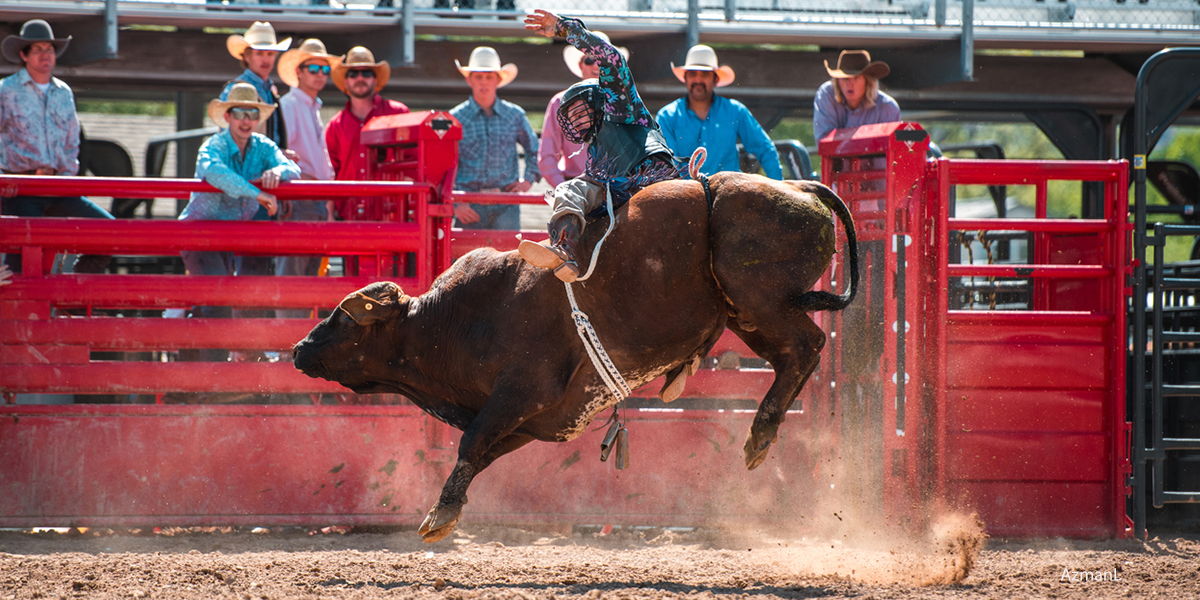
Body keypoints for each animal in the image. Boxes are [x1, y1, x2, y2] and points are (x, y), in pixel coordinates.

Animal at [292, 171, 854, 542]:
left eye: (342, 318)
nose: (299, 349)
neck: (454, 321)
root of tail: (801, 187)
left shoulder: (521, 389)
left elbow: (471, 441)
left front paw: (438, 516)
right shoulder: (538, 420)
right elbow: (481, 450)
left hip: (760, 297)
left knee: (807, 346)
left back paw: (761, 432)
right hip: (747, 314)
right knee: (793, 355)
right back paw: (759, 437)